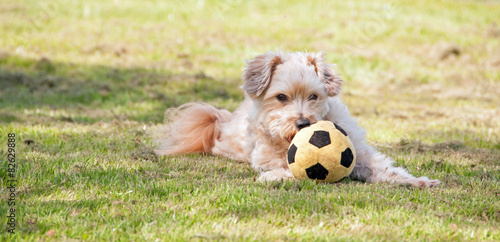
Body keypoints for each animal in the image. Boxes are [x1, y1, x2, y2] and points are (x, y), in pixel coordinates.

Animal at [154, 50, 440, 187]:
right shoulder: (267, 158)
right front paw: (275, 177)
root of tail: (220, 119)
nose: (303, 123)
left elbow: (385, 169)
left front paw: (416, 181)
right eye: (281, 97)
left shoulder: (359, 153)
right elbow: (288, 169)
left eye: (314, 96)